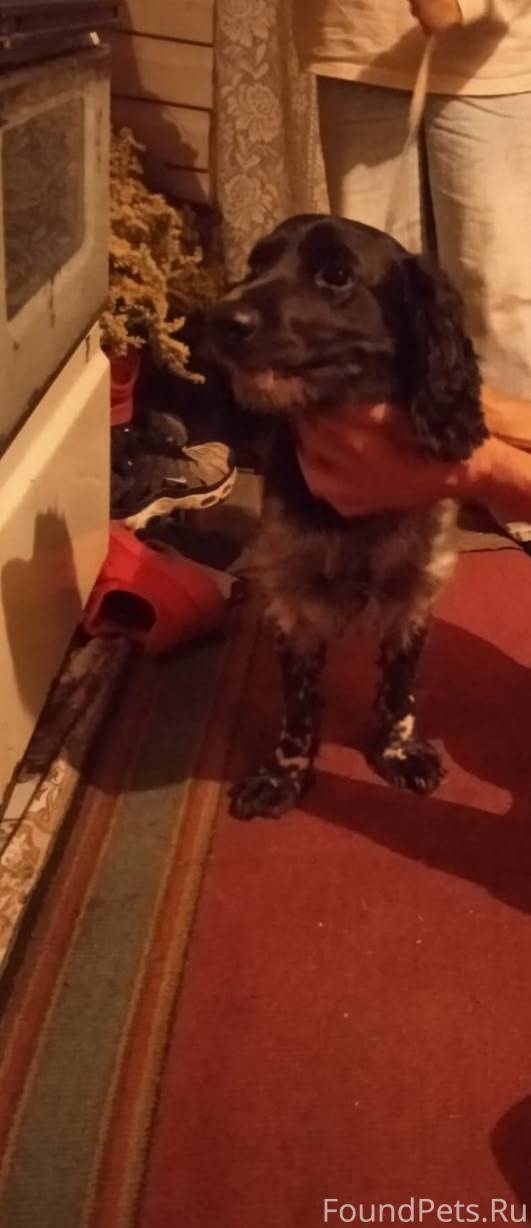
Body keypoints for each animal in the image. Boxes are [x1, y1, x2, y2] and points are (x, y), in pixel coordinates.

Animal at [207, 214, 487, 820]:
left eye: (336, 274)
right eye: (256, 265)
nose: (218, 319)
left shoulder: (414, 600)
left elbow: (400, 691)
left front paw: (398, 751)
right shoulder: (295, 611)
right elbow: (299, 708)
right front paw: (284, 776)